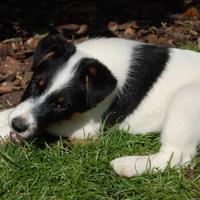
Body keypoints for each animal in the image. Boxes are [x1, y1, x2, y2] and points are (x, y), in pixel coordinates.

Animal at [0, 35, 200, 177]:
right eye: (35, 84)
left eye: (61, 105)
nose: (18, 125)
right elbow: (9, 112)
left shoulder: (89, 128)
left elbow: (47, 127)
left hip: (185, 98)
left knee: (177, 157)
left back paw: (127, 165)